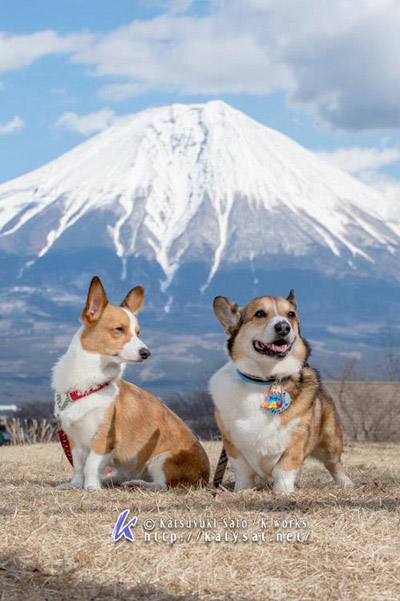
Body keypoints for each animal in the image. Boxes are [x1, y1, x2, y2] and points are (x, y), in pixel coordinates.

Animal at [52, 278, 209, 490]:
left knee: (162, 485)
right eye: (119, 329)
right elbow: (78, 466)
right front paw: (75, 485)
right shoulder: (73, 437)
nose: (146, 353)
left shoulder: (104, 439)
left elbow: (90, 465)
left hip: (161, 459)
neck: (88, 385)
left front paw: (91, 487)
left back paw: (137, 483)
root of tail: (206, 477)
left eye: (138, 332)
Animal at [209, 290, 354, 492]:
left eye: (291, 314)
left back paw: (346, 483)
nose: (284, 327)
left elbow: (284, 469)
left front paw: (283, 492)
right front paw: (243, 490)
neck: (264, 379)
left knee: (335, 464)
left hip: (331, 441)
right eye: (260, 313)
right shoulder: (232, 444)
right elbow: (243, 472)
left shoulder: (295, 442)